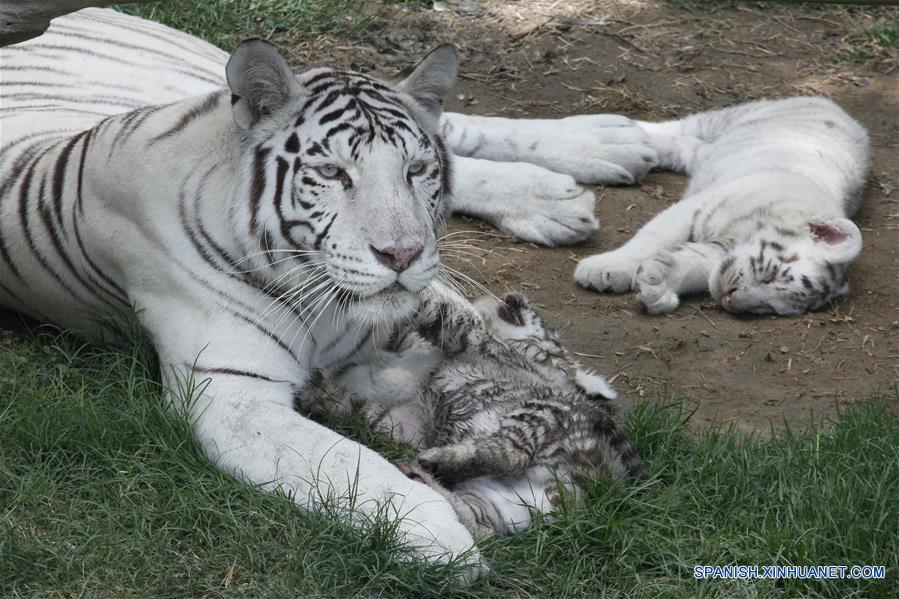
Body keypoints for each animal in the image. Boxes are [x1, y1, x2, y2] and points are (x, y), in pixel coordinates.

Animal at [0, 7, 656, 580]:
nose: (402, 255)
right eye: (333, 173)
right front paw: (443, 542)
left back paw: (600, 150)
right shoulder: (231, 393)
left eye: (415, 171)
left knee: (454, 125)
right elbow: (350, 464)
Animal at [572, 96, 868, 316]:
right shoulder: (695, 207)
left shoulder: (718, 253)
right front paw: (606, 269)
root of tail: (845, 113)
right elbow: (651, 238)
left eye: (770, 308)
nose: (730, 300)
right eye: (771, 275)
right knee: (675, 127)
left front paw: (658, 283)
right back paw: (616, 130)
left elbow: (696, 267)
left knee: (679, 145)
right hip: (720, 121)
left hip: (698, 150)